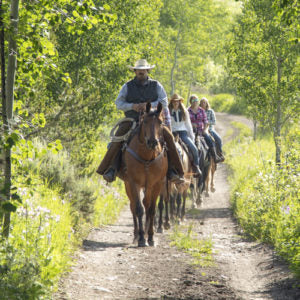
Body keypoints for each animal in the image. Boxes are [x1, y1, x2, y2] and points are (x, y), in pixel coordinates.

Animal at [122, 102, 169, 247]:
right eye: (145, 121)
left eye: (160, 122)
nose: (153, 142)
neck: (147, 157)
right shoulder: (133, 183)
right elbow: (138, 209)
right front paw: (142, 238)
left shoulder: (156, 184)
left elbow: (151, 208)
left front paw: (151, 237)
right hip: (128, 185)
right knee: (133, 206)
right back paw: (136, 235)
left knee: (147, 204)